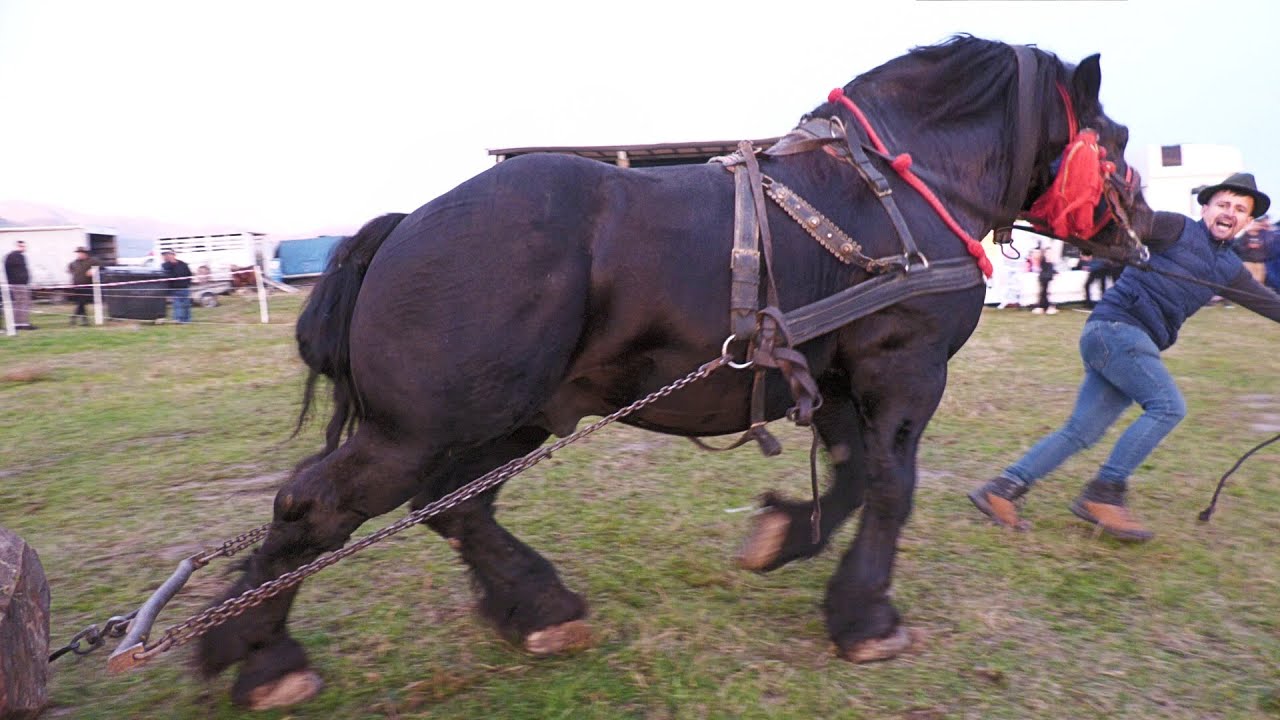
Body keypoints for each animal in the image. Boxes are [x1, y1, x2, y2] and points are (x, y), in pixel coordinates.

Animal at [197, 36, 1154, 708]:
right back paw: (264, 657)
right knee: (316, 506)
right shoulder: (901, 367)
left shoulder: (832, 378)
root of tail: (403, 227)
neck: (897, 189)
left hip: (509, 417)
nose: (1146, 228)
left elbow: (850, 480)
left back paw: (538, 610)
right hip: (425, 426)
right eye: (1114, 140)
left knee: (454, 506)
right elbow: (890, 489)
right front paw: (867, 618)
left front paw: (783, 538)